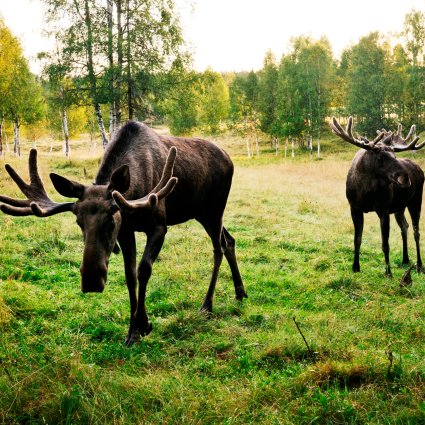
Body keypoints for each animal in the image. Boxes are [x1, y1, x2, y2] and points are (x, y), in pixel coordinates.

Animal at [0, 121, 247, 346]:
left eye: (111, 220)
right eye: (79, 222)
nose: (91, 280)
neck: (135, 194)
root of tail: (229, 158)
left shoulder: (159, 225)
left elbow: (143, 269)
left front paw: (144, 324)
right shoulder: (127, 231)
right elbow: (130, 276)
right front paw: (132, 331)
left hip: (214, 208)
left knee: (218, 247)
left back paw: (207, 304)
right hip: (200, 212)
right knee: (230, 240)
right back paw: (240, 291)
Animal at [332, 117, 424, 274]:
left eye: (395, 155)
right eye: (381, 156)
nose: (405, 178)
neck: (365, 191)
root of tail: (419, 168)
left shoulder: (383, 210)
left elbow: (385, 244)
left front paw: (388, 272)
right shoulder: (354, 208)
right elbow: (357, 239)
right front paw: (355, 267)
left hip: (416, 200)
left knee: (416, 232)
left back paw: (419, 265)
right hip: (399, 206)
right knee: (404, 226)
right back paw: (405, 259)